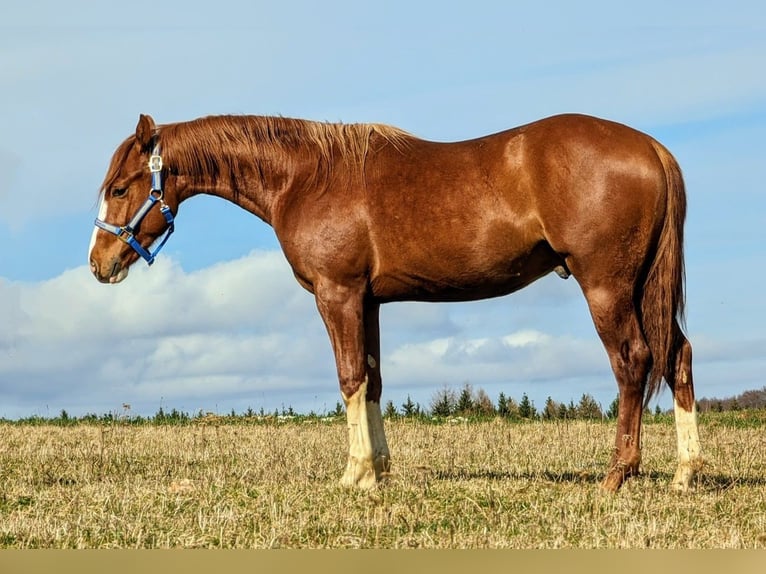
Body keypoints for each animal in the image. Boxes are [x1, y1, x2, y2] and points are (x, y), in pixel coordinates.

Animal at [88, 113, 704, 496]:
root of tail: (650, 147)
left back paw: (617, 475)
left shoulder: (337, 294)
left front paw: (354, 475)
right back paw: (685, 472)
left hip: (606, 286)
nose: (99, 263)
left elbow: (349, 378)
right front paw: (379, 473)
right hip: (645, 287)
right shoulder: (369, 301)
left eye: (119, 188)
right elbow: (374, 380)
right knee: (678, 356)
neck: (307, 177)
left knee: (633, 361)